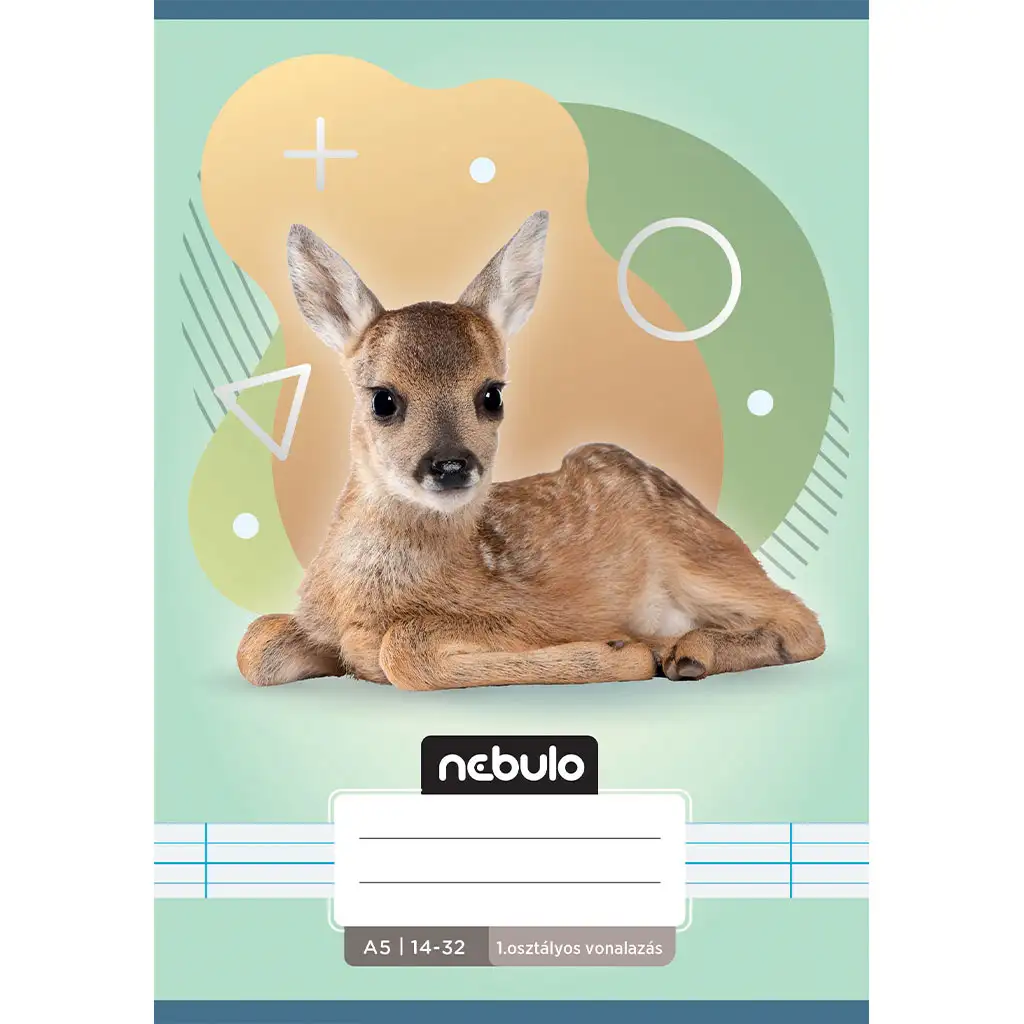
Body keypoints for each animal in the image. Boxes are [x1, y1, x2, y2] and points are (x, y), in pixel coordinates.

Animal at [236, 211, 826, 691]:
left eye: (492, 394)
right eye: (383, 399)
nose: (451, 465)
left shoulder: (531, 611)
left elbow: (405, 649)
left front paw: (623, 651)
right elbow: (255, 643)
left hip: (693, 550)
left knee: (802, 620)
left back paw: (686, 651)